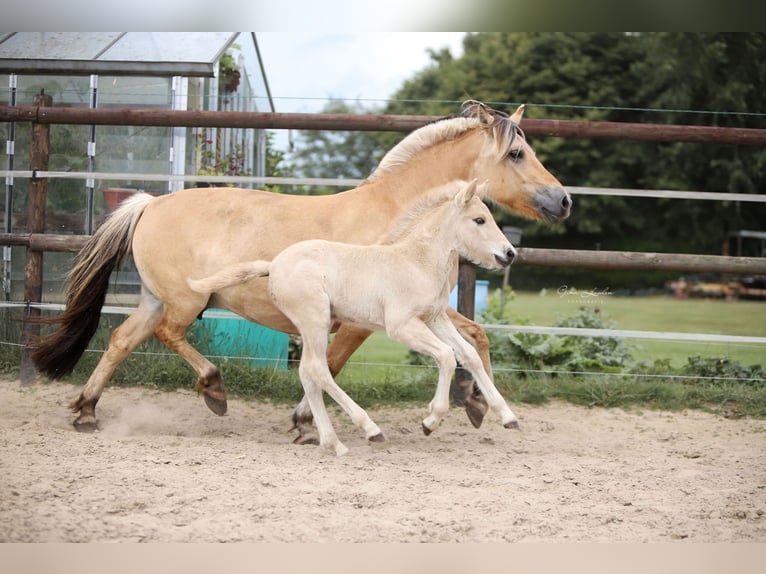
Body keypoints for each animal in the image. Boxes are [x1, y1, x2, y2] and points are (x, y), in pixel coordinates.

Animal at [188, 179, 519, 455]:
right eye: (479, 220)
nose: (509, 254)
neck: (416, 262)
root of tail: (274, 265)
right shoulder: (402, 327)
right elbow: (447, 356)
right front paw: (431, 420)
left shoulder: (435, 319)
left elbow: (469, 355)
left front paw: (508, 416)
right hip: (316, 322)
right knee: (318, 370)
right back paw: (369, 429)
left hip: (312, 327)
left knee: (307, 373)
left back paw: (332, 442)